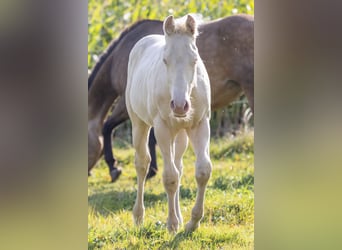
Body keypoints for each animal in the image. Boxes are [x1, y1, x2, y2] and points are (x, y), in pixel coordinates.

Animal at [125, 14, 211, 232]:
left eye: (195, 59)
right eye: (165, 60)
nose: (180, 106)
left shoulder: (200, 124)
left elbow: (202, 171)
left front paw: (192, 222)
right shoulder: (162, 128)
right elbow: (170, 178)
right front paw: (172, 224)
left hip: (180, 134)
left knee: (178, 166)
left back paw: (180, 217)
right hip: (139, 124)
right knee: (142, 163)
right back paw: (138, 216)